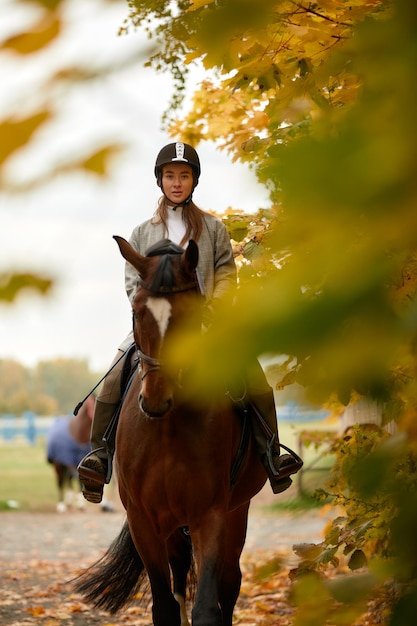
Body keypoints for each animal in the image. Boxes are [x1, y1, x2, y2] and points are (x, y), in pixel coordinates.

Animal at [73, 238, 264, 624]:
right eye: (137, 310)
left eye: (191, 314)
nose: (156, 398)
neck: (168, 428)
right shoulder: (144, 522)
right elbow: (164, 606)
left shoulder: (211, 515)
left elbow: (207, 606)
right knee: (179, 577)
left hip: (237, 512)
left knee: (229, 584)